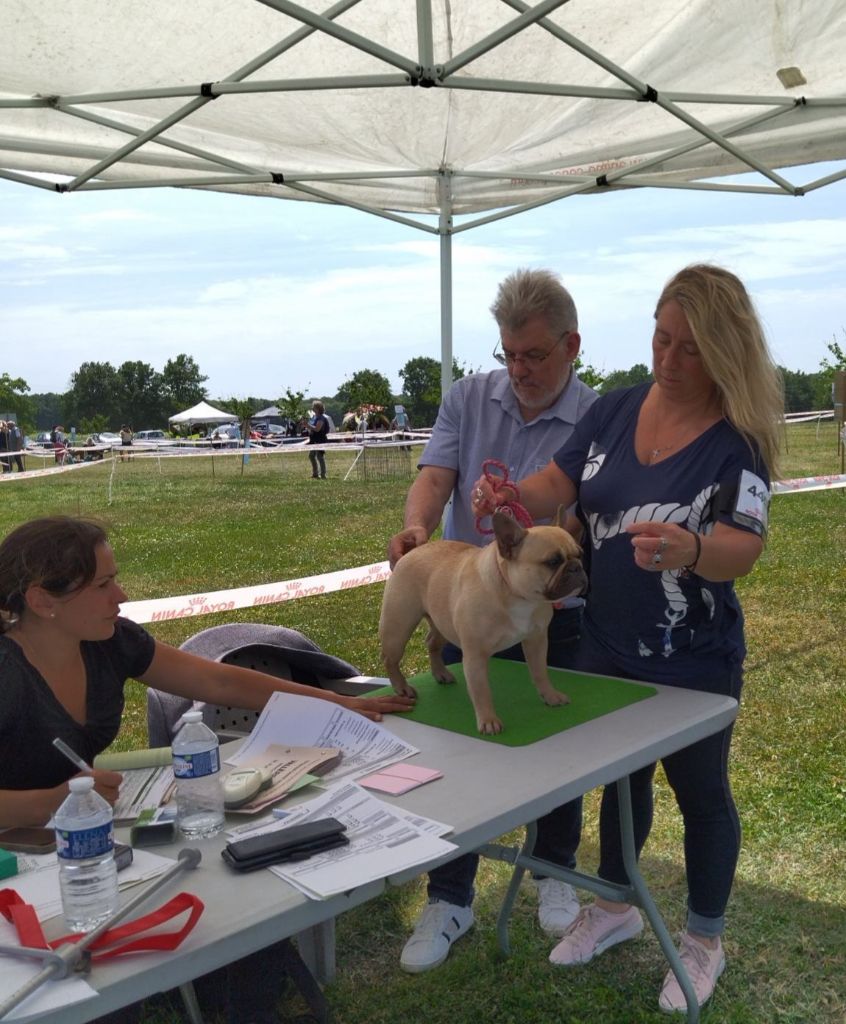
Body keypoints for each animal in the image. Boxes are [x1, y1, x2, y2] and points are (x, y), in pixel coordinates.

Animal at [379, 510, 587, 734]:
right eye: (553, 562)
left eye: (580, 554)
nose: (577, 567)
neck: (517, 595)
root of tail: (410, 553)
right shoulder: (475, 655)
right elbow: (481, 691)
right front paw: (488, 720)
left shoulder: (537, 640)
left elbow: (540, 672)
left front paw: (550, 696)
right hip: (398, 628)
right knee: (390, 659)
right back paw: (402, 687)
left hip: (443, 624)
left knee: (432, 643)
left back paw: (441, 673)